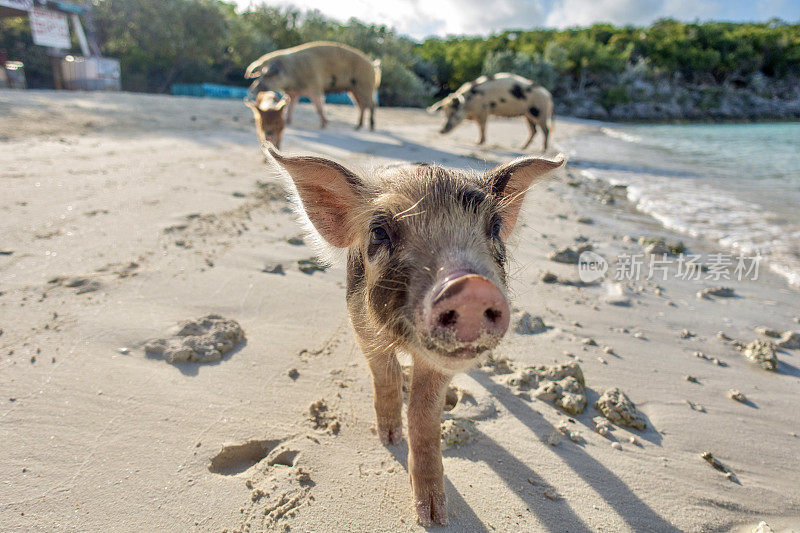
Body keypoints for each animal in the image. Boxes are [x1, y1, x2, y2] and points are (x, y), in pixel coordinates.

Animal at [244, 40, 382, 130]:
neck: (292, 72)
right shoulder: (293, 93)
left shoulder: (315, 86)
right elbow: (290, 106)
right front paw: (288, 122)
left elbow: (319, 106)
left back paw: (371, 127)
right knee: (361, 106)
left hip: (365, 85)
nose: (251, 90)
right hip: (353, 89)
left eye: (267, 75)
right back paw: (357, 126)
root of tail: (372, 64)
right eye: (260, 74)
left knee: (371, 105)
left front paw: (324, 125)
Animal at [266, 140, 564, 524]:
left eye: (496, 227)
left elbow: (424, 412)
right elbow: (385, 373)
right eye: (379, 231)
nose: (471, 287)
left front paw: (434, 516)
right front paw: (389, 439)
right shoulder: (360, 323)